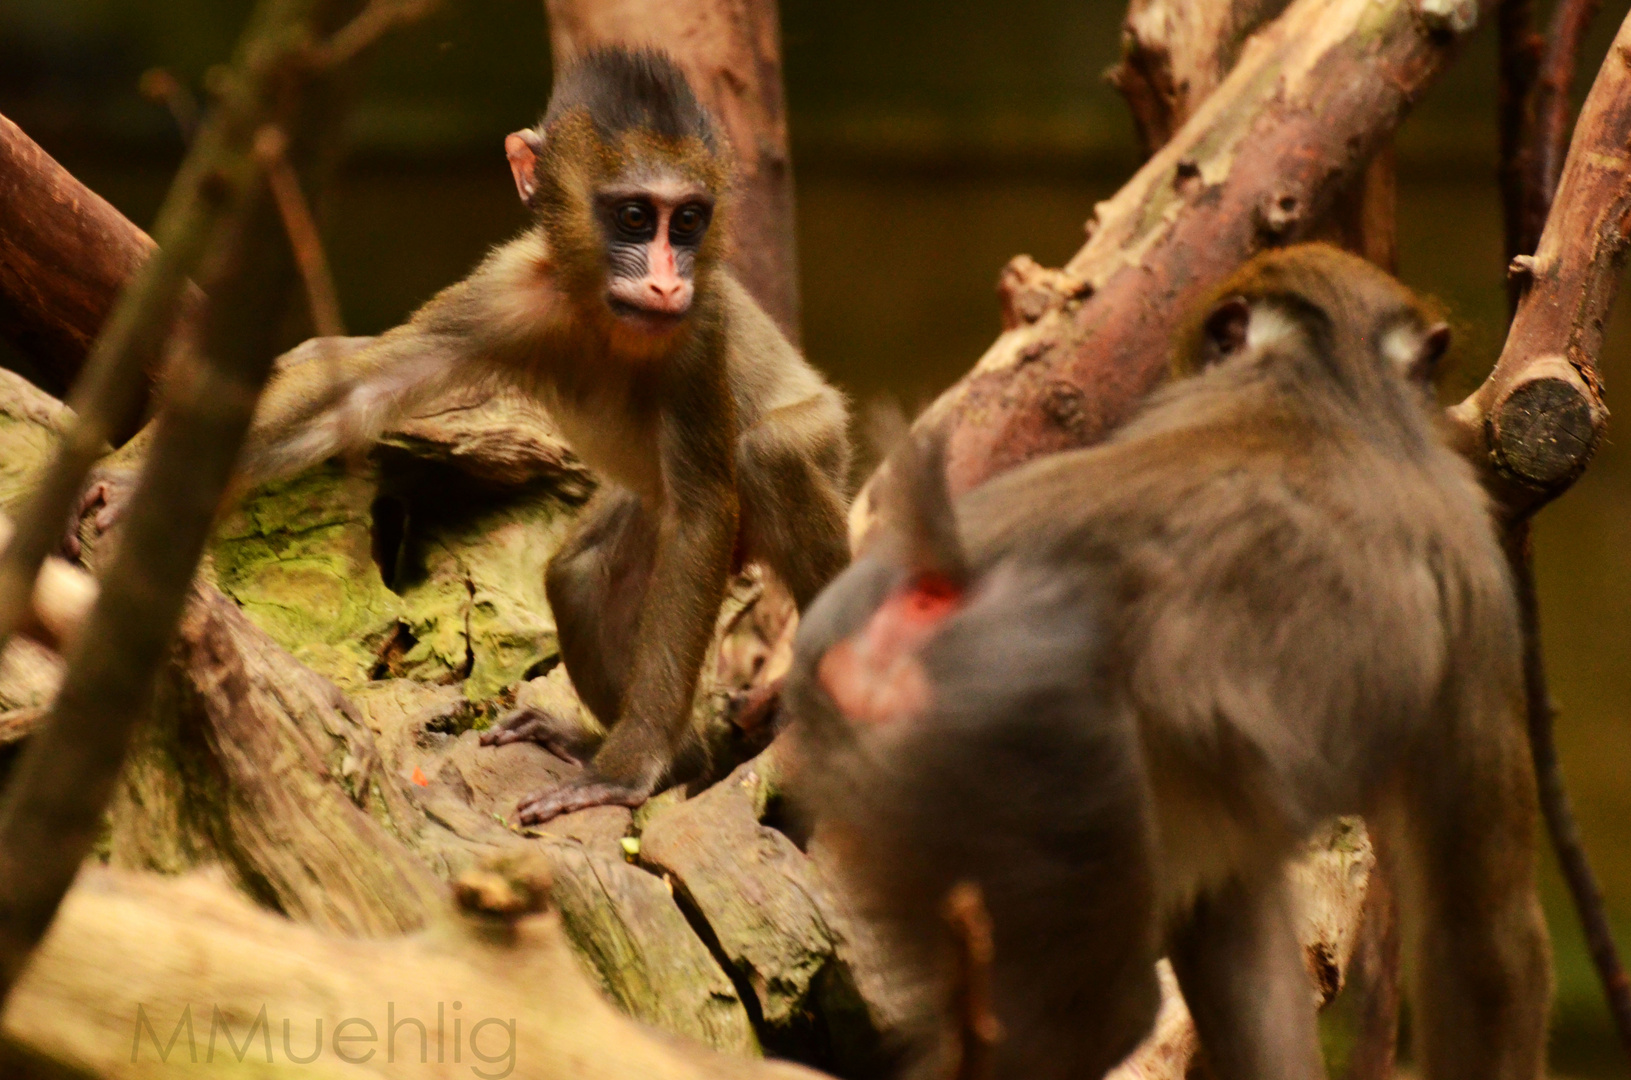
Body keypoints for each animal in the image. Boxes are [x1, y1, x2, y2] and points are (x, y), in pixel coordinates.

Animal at [789, 244, 1552, 1080]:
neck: (1318, 381)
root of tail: (942, 572)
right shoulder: (1475, 568)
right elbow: (1481, 936)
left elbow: (1227, 913)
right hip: (1024, 746)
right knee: (1100, 1014)